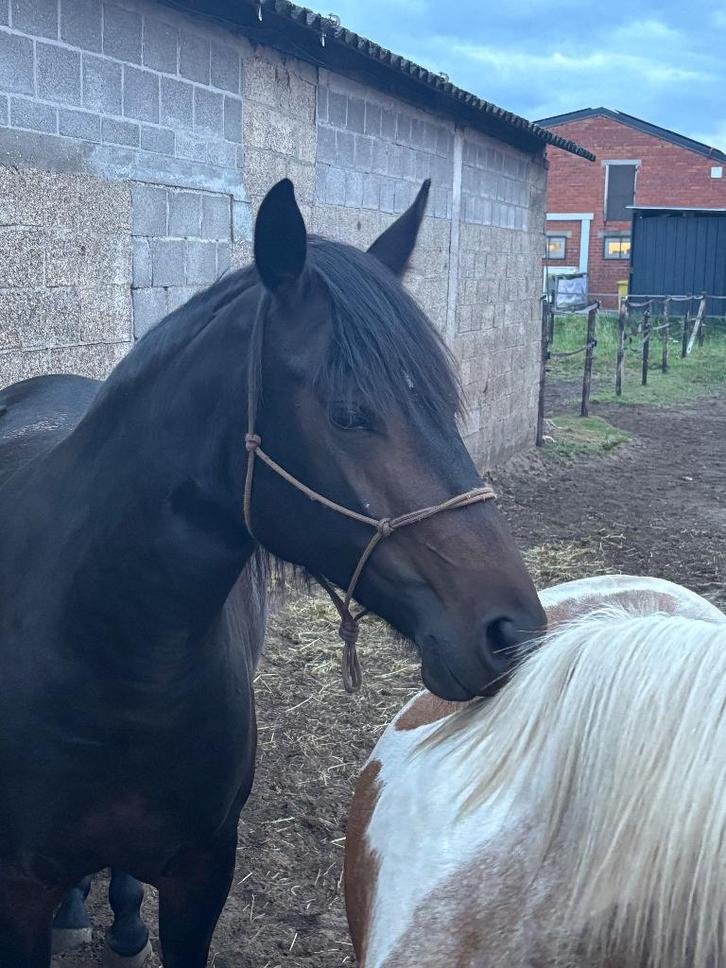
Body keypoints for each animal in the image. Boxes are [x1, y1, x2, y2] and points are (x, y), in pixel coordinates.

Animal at [0, 177, 545, 968]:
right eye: (348, 413)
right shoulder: (18, 888)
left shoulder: (202, 874)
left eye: (445, 405)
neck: (111, 654)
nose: (513, 632)